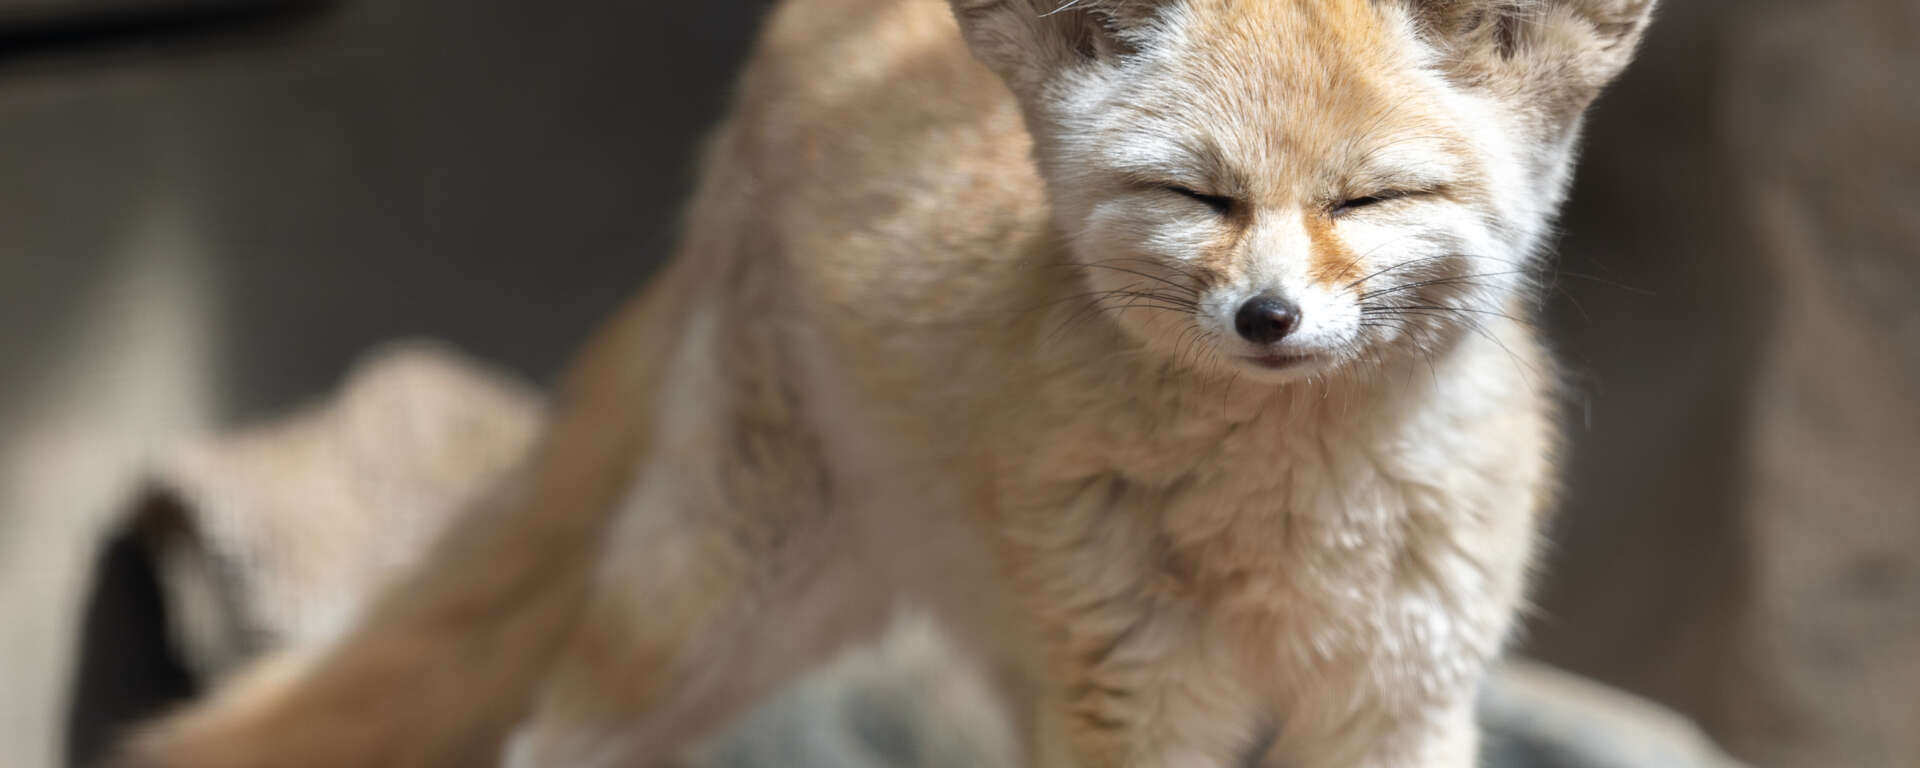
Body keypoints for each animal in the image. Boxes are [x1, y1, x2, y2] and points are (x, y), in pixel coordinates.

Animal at [120, 0, 1657, 766]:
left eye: (1372, 197)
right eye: (1196, 195)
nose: (1266, 318)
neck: (1287, 527)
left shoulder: (1394, 703)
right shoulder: (1140, 702)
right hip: (716, 611)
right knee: (548, 730)